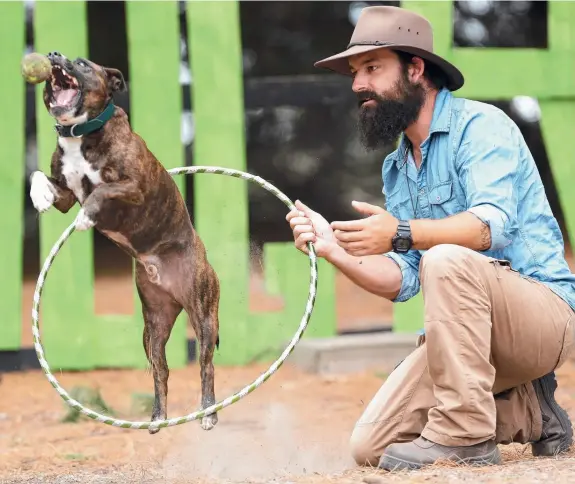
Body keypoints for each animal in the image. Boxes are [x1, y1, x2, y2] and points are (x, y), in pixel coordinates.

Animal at [29, 51, 223, 432]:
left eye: (82, 63)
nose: (55, 55)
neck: (80, 133)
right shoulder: (66, 194)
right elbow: (39, 176)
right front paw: (39, 195)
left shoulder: (132, 186)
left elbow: (99, 191)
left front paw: (86, 217)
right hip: (154, 327)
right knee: (161, 371)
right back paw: (158, 417)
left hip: (203, 315)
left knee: (206, 366)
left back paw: (208, 414)